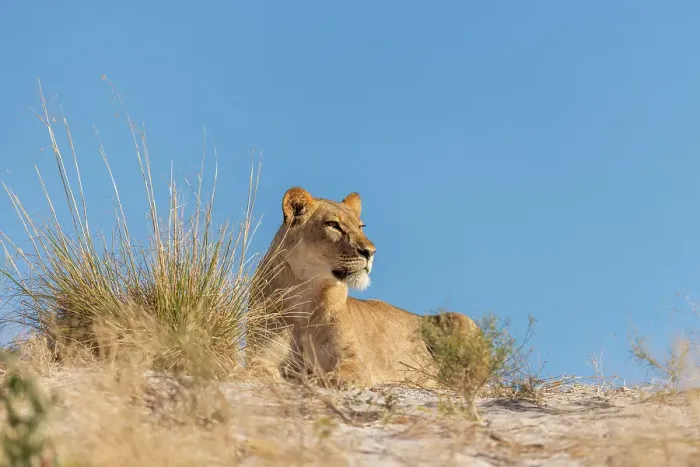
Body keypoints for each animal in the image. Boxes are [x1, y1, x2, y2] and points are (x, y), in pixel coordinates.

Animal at [245, 187, 478, 387]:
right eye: (333, 225)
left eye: (360, 227)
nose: (370, 252)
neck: (304, 291)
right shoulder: (261, 357)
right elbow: (254, 373)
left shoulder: (354, 361)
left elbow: (332, 377)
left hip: (460, 320)